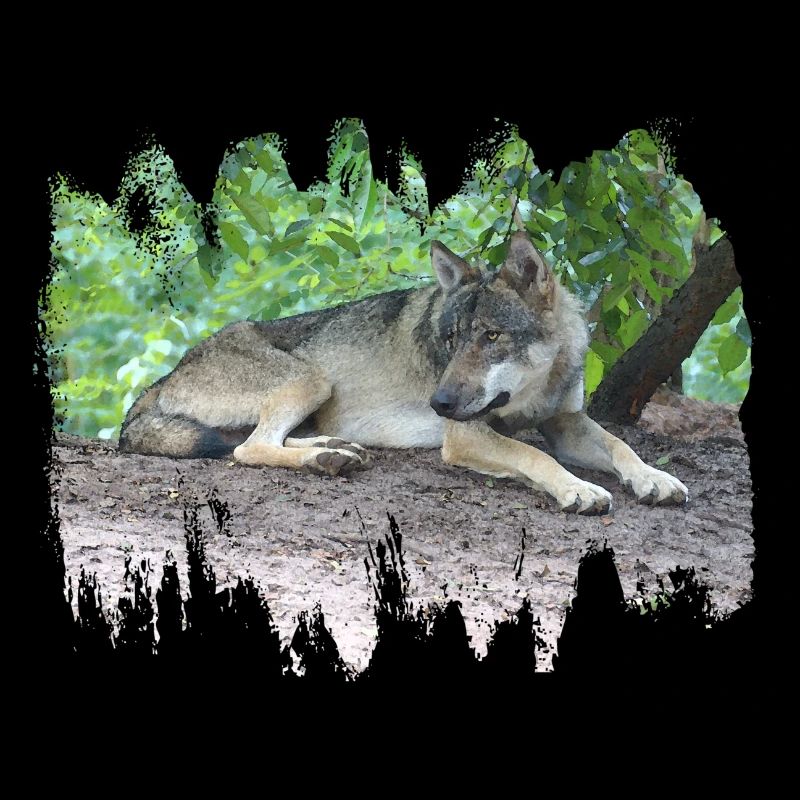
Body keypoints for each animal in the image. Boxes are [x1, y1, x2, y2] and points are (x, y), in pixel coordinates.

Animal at [119, 231, 688, 514]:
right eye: (451, 340)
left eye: (491, 337)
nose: (439, 404)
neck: (536, 386)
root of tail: (164, 377)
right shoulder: (465, 436)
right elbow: (532, 455)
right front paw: (578, 489)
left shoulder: (565, 422)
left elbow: (620, 445)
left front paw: (654, 478)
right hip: (312, 380)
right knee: (247, 449)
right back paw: (325, 460)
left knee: (261, 441)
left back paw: (334, 450)